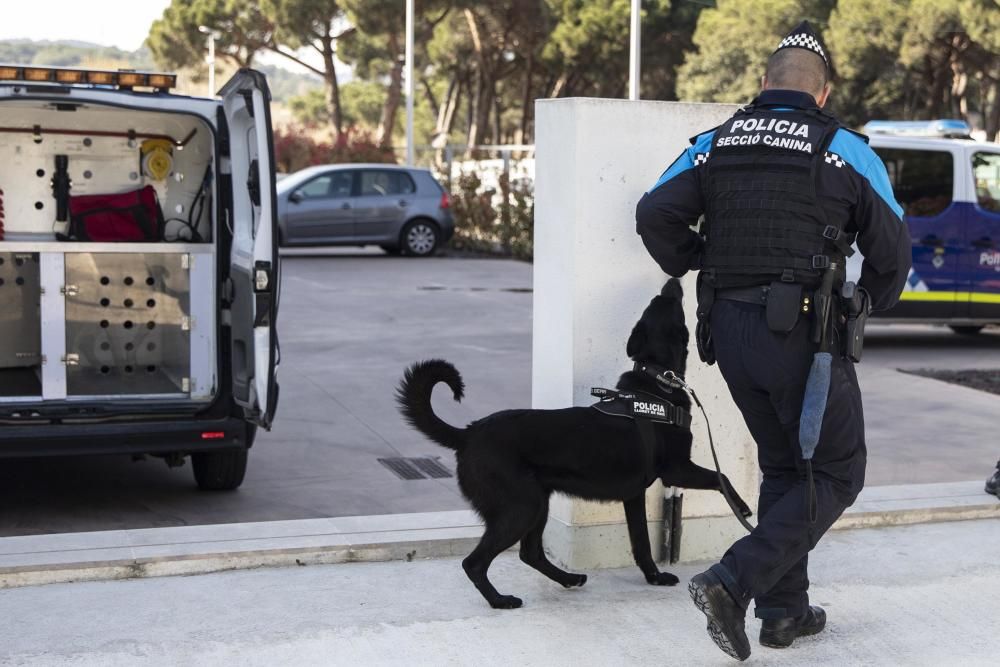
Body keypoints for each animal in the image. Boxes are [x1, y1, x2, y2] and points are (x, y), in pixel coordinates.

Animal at [396, 280, 752, 608]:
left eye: (659, 301)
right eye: (672, 303)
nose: (673, 281)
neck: (657, 382)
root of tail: (468, 432)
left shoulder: (634, 495)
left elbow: (641, 543)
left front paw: (654, 577)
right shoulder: (677, 471)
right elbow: (721, 477)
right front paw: (743, 507)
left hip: (537, 501)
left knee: (531, 553)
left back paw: (568, 579)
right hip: (521, 507)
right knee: (475, 563)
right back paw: (500, 600)